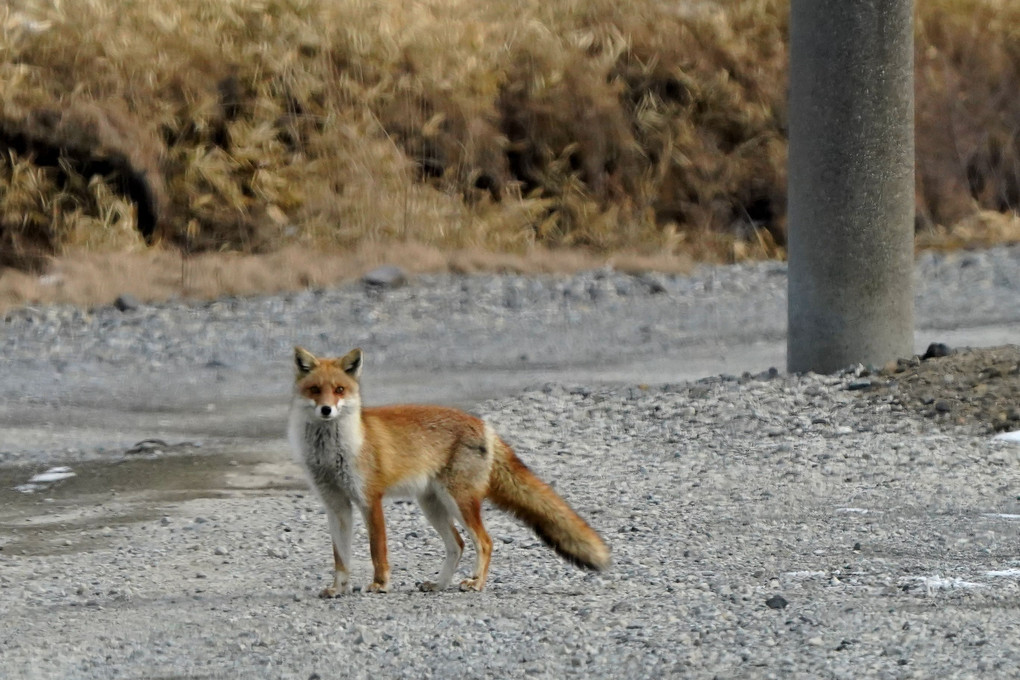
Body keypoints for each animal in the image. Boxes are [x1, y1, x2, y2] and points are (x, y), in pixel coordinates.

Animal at [283, 346, 607, 595]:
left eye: (339, 390)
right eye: (315, 390)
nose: (326, 410)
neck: (331, 453)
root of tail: (483, 424)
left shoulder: (369, 499)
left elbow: (377, 549)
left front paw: (380, 584)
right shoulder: (336, 504)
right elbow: (340, 557)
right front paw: (338, 589)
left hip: (458, 500)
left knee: (484, 542)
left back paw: (475, 584)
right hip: (432, 505)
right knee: (458, 545)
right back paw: (439, 585)